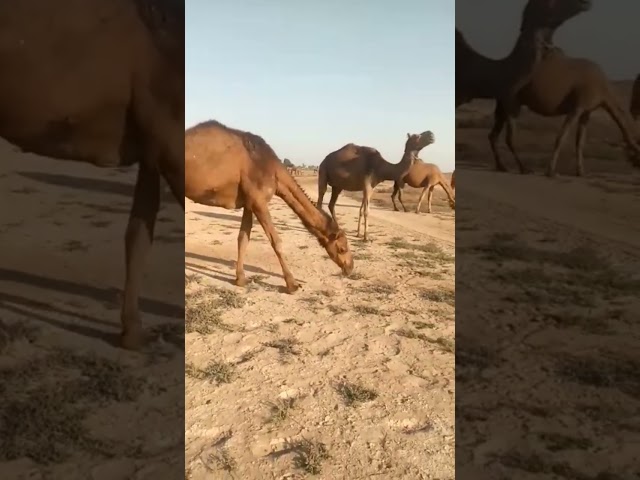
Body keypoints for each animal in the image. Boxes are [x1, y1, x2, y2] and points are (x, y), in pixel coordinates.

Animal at [184, 120, 356, 292]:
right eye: (342, 248)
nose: (350, 267)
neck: (273, 170)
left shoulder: (249, 203)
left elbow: (243, 238)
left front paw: (240, 279)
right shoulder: (259, 201)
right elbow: (276, 241)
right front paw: (292, 284)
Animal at [458, 0, 592, 172]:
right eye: (551, 3)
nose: (585, 3)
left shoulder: (506, 101)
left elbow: (499, 136)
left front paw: (503, 166)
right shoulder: (506, 100)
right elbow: (510, 139)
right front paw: (524, 168)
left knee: (493, 135)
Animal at [484, 0, 640, 177]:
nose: (635, 162)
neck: (604, 88)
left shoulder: (587, 111)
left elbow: (580, 143)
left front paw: (581, 172)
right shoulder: (578, 106)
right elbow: (561, 138)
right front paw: (550, 171)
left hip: (503, 105)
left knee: (493, 135)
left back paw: (502, 166)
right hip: (511, 101)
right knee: (508, 137)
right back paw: (523, 168)